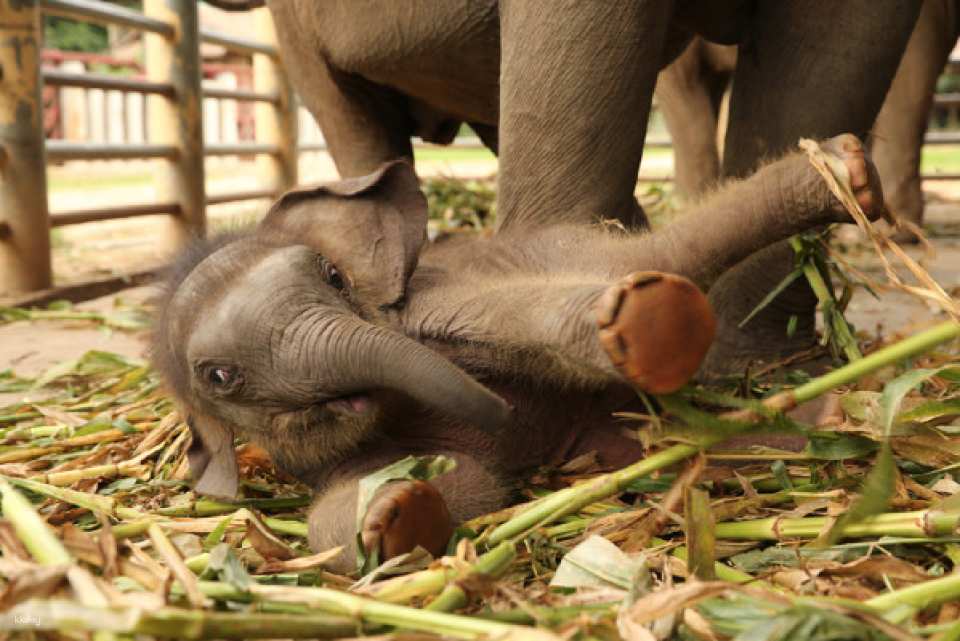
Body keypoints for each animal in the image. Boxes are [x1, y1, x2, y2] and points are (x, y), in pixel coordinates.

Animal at [152, 134, 884, 573]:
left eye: (334, 276)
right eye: (220, 376)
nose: (500, 411)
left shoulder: (432, 296)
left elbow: (501, 317)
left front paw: (639, 328)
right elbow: (471, 481)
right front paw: (395, 514)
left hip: (564, 245)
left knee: (659, 256)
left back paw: (844, 175)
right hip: (610, 432)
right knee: (653, 442)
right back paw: (830, 421)